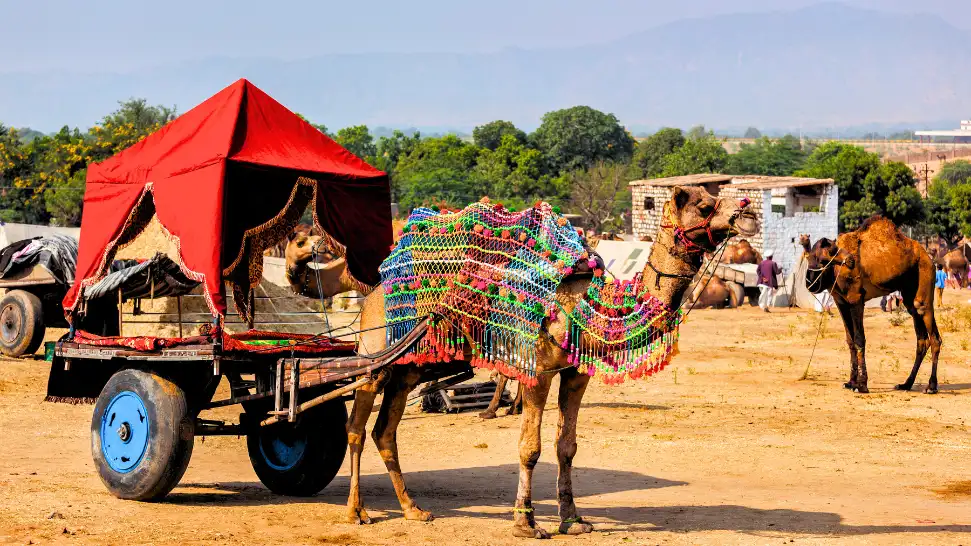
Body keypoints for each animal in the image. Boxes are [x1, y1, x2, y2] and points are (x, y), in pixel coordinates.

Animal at [345, 186, 758, 538]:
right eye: (704, 205)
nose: (749, 213)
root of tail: (373, 292)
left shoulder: (575, 373)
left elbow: (567, 446)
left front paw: (573, 520)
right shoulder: (539, 369)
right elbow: (531, 448)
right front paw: (526, 524)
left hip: (408, 366)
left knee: (384, 431)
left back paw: (413, 509)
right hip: (374, 354)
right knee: (356, 425)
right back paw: (357, 511)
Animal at [803, 216, 942, 394]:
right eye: (832, 251)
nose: (851, 260)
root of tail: (928, 257)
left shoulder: (856, 299)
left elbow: (859, 339)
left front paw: (862, 385)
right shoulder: (841, 302)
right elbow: (850, 340)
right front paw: (850, 382)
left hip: (924, 280)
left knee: (933, 335)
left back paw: (931, 386)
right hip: (910, 297)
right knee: (922, 339)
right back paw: (906, 384)